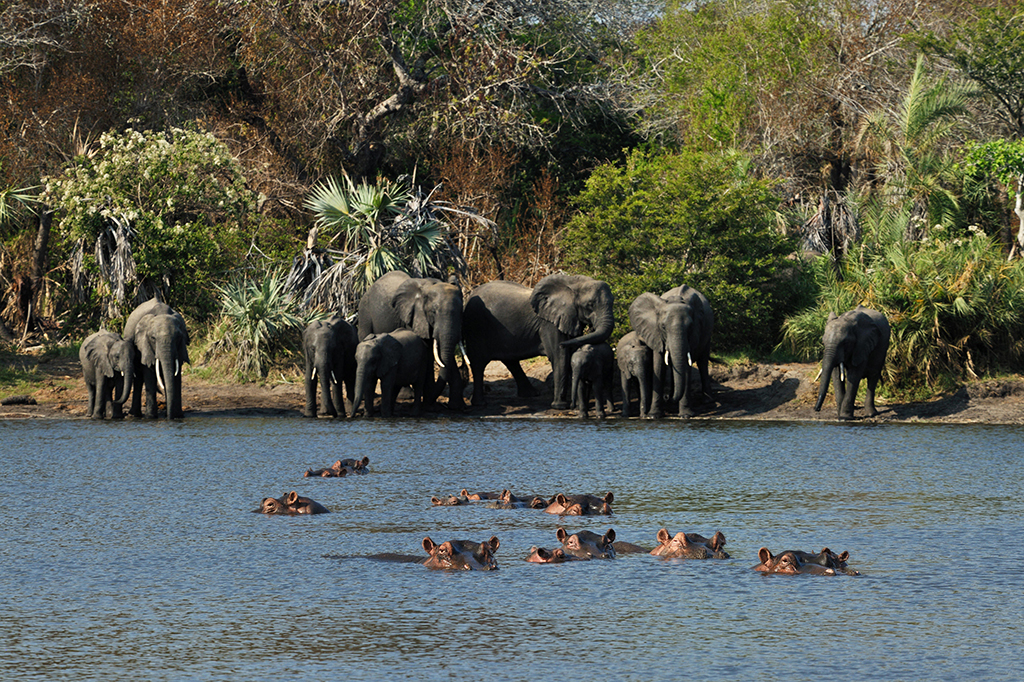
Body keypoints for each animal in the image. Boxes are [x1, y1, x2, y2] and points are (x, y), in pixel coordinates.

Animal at [357, 271, 465, 410]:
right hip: (364, 312)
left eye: (461, 312)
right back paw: (407, 396)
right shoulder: (412, 316)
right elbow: (426, 349)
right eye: (433, 312)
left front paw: (457, 407)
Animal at [462, 274, 615, 409]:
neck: (573, 284)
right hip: (475, 325)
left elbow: (569, 354)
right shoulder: (549, 323)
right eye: (590, 304)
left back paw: (531, 394)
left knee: (510, 360)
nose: (592, 327)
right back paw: (480, 404)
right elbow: (560, 356)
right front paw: (560, 407)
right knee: (478, 363)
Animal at [628, 285, 713, 418]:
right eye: (663, 327)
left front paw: (685, 415)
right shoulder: (655, 333)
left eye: (690, 327)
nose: (667, 397)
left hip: (707, 333)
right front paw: (654, 415)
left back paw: (707, 401)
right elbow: (659, 367)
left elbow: (686, 366)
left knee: (702, 363)